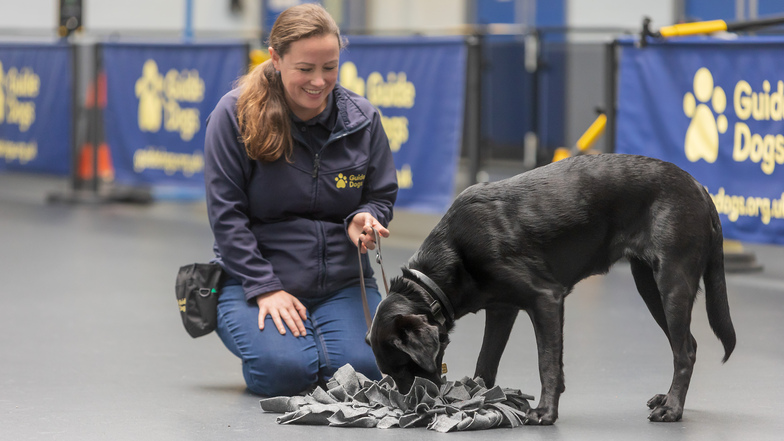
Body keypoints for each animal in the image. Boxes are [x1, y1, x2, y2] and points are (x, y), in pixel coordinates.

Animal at [368, 154, 736, 422]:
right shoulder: (501, 310)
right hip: (649, 287)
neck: (450, 257)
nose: (407, 409)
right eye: (391, 373)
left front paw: (545, 412)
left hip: (672, 283)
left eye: (403, 368)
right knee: (686, 343)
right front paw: (479, 401)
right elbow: (485, 363)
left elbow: (547, 362)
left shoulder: (546, 298)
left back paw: (672, 409)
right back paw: (669, 397)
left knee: (684, 351)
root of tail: (700, 187)